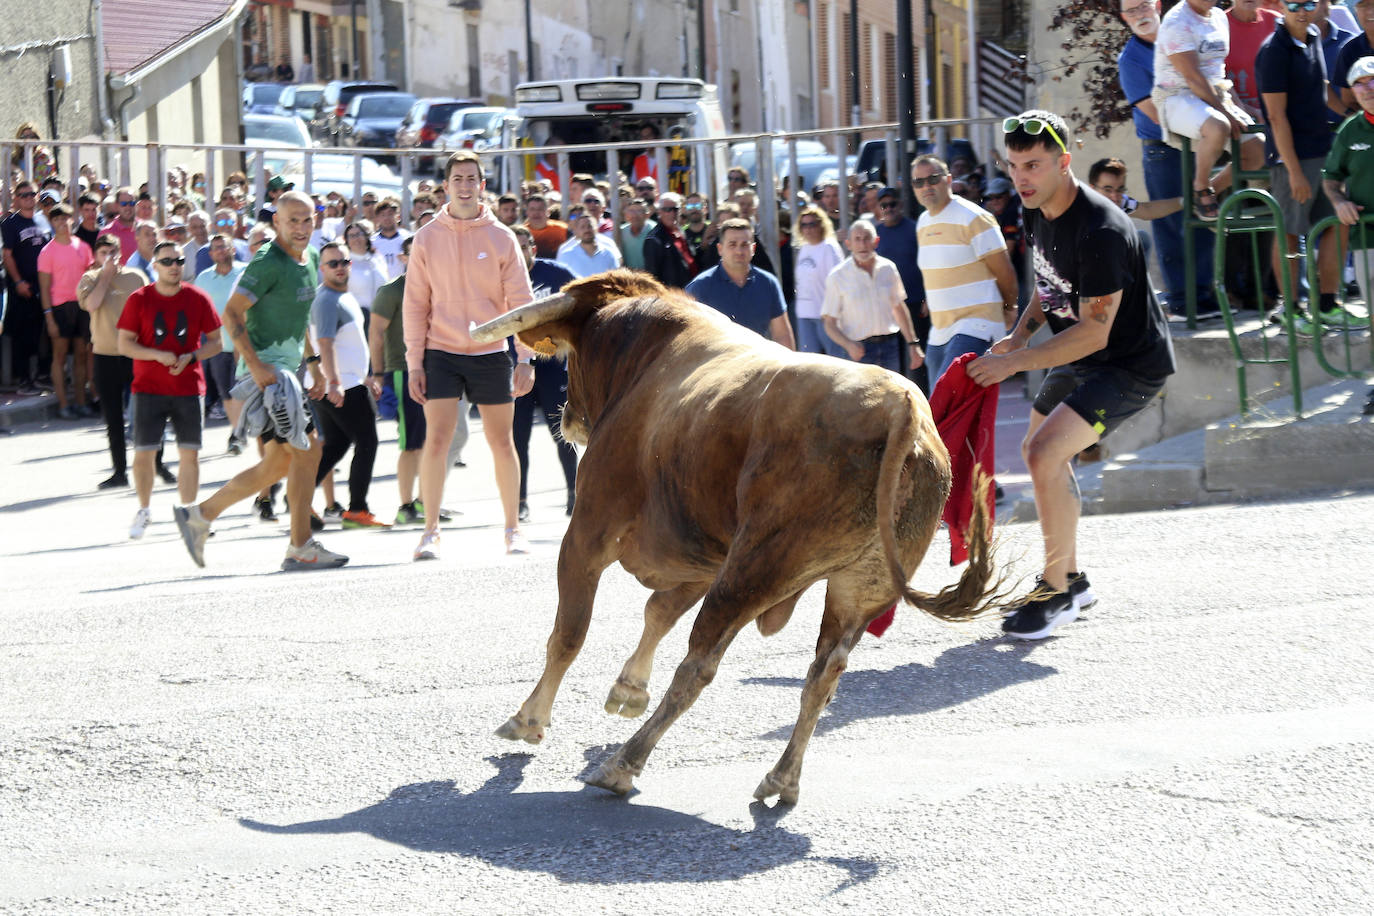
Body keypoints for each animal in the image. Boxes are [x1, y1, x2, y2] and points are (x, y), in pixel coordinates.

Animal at [472, 270, 1000, 802]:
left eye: (574, 357)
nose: (566, 415)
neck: (645, 354)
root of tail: (901, 407)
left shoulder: (588, 533)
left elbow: (570, 633)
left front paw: (529, 719)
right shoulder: (702, 556)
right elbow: (657, 612)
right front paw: (628, 689)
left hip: (752, 571)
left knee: (699, 664)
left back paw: (623, 763)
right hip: (856, 588)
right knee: (824, 674)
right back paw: (782, 777)